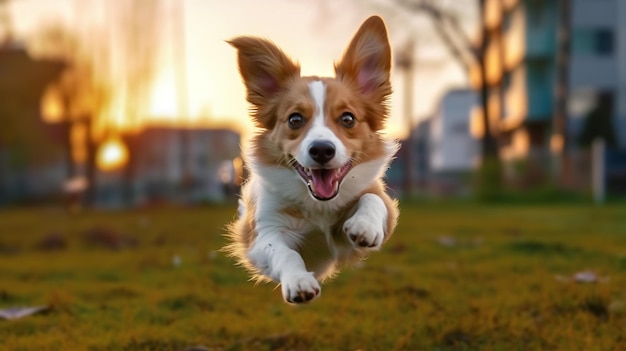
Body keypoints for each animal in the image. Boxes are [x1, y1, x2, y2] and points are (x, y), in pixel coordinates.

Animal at [224, 15, 398, 304]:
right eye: (295, 119)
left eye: (348, 118)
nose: (322, 150)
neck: (319, 206)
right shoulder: (262, 235)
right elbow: (284, 252)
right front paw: (298, 281)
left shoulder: (377, 207)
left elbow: (372, 199)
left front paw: (363, 225)